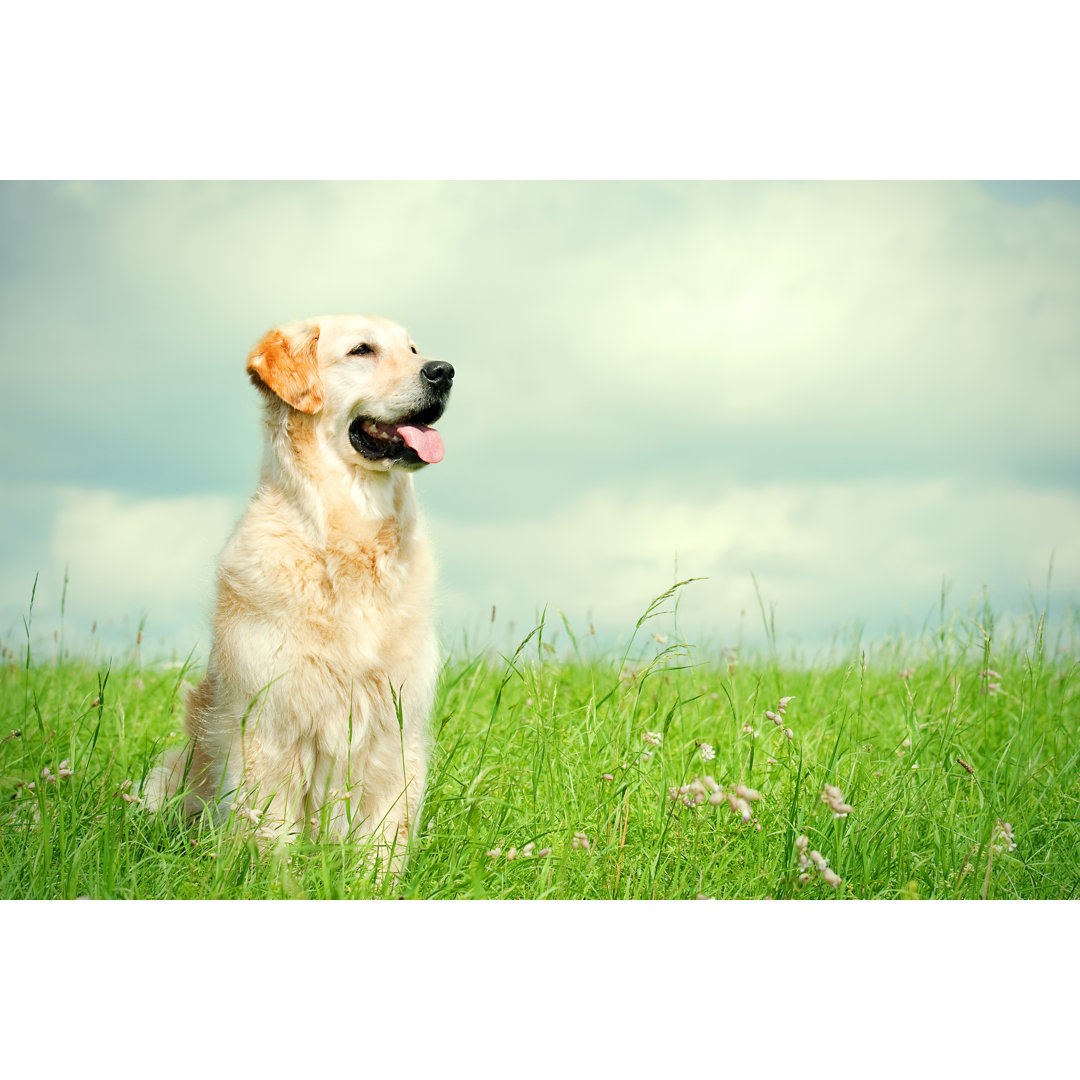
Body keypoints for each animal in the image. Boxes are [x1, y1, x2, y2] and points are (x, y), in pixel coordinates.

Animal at [142, 315, 451, 868]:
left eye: (415, 349)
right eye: (362, 350)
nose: (445, 371)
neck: (350, 541)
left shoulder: (395, 734)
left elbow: (381, 843)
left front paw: (373, 883)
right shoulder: (269, 728)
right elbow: (270, 836)